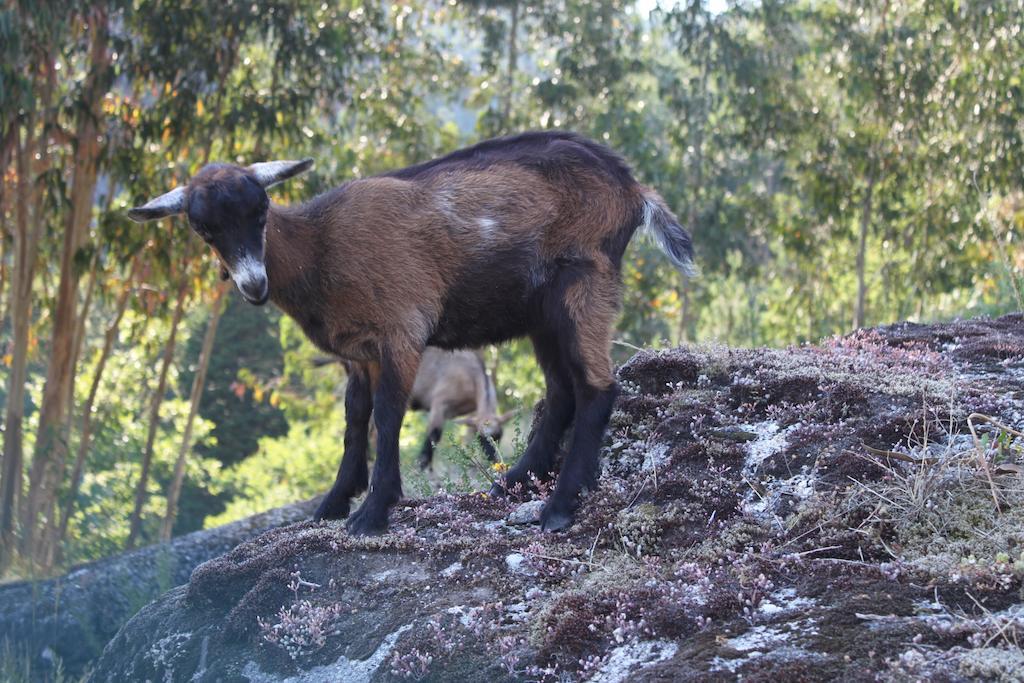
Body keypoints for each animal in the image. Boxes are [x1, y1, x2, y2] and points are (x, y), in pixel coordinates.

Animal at [315, 348, 512, 471]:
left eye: (499, 437)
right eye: (484, 440)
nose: (496, 461)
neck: (472, 375)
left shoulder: (472, 413)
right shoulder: (440, 405)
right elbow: (433, 437)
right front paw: (423, 467)